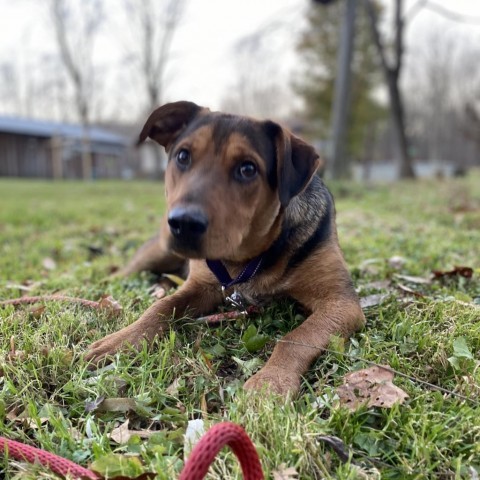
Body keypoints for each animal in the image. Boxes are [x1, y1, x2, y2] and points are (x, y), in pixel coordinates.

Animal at [85, 100, 364, 394]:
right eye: (182, 156)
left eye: (248, 169)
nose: (184, 223)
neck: (249, 258)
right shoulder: (201, 285)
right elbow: (160, 307)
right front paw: (121, 341)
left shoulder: (341, 302)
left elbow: (297, 337)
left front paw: (270, 381)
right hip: (159, 251)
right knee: (128, 270)